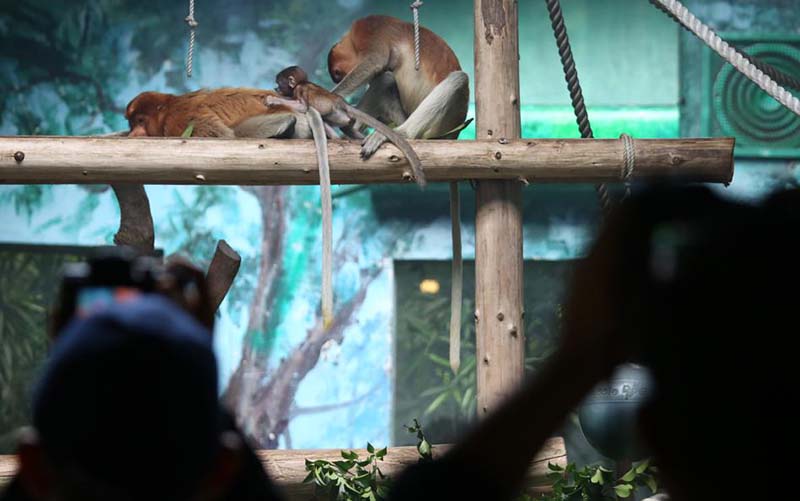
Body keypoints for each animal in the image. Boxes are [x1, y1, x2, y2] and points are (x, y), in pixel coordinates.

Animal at [268, 65, 425, 187]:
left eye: (279, 82)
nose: (275, 88)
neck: (301, 83)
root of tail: (340, 102)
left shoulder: (299, 90)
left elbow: (302, 107)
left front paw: (273, 100)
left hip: (335, 114)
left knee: (321, 118)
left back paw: (335, 138)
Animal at [328, 15, 470, 373]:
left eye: (336, 73)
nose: (334, 75)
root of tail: (456, 135)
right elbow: (381, 73)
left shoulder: (370, 29)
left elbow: (376, 63)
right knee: (387, 81)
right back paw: (357, 130)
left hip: (440, 124)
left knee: (399, 77)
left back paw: (392, 135)